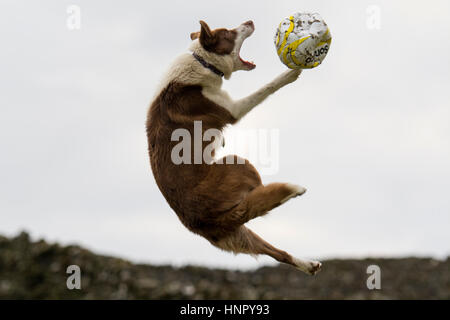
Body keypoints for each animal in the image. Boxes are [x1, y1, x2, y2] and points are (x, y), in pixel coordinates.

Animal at [146, 20, 322, 276]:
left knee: (276, 250)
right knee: (260, 198)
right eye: (229, 33)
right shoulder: (233, 109)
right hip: (239, 163)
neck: (203, 61)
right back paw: (292, 189)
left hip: (237, 235)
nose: (250, 21)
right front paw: (290, 73)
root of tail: (202, 220)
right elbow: (266, 87)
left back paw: (307, 264)